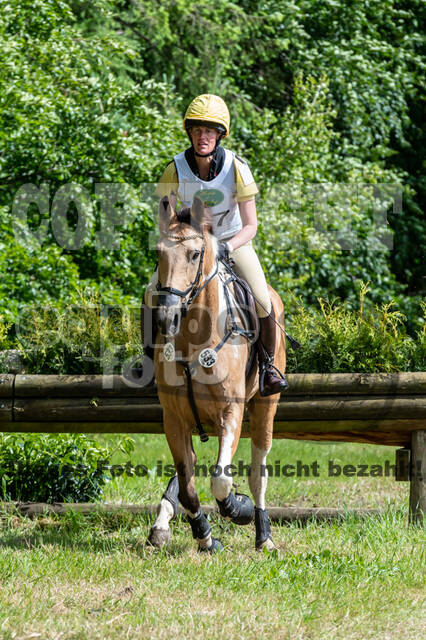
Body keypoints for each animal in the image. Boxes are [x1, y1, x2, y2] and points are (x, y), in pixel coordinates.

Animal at [145, 195, 286, 553]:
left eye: (195, 254)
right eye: (159, 253)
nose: (166, 318)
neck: (194, 337)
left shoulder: (230, 413)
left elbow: (222, 480)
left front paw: (239, 508)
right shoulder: (174, 419)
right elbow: (187, 484)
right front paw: (205, 537)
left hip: (266, 405)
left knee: (258, 471)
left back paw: (263, 535)